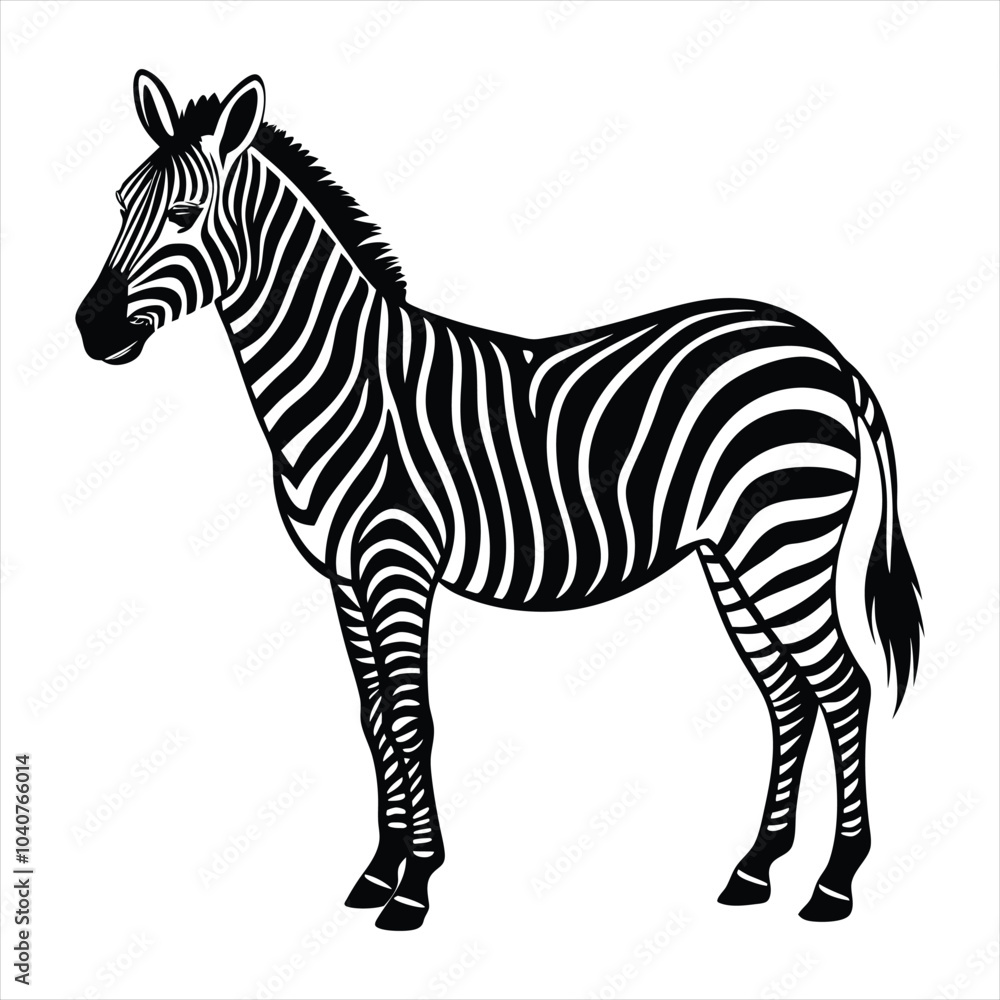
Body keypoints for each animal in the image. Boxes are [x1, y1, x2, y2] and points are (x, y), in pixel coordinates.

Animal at [75, 72, 922, 931]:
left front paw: (413, 887)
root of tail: (824, 352)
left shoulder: (397, 563)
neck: (346, 381)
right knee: (788, 695)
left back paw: (834, 883)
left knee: (842, 688)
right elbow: (374, 722)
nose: (89, 328)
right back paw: (755, 870)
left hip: (782, 544)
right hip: (735, 556)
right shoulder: (345, 577)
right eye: (119, 201)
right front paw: (380, 871)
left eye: (184, 214)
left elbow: (411, 719)